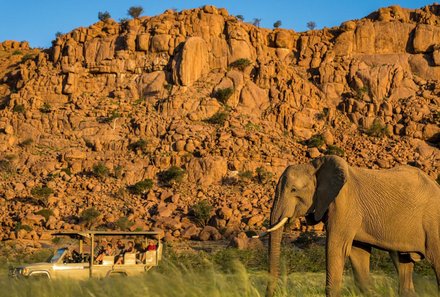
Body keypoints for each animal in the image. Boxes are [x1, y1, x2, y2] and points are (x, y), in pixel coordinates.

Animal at [262, 155, 438, 296]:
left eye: (293, 190)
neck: (316, 167)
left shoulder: (345, 205)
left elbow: (336, 249)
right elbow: (358, 253)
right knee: (403, 262)